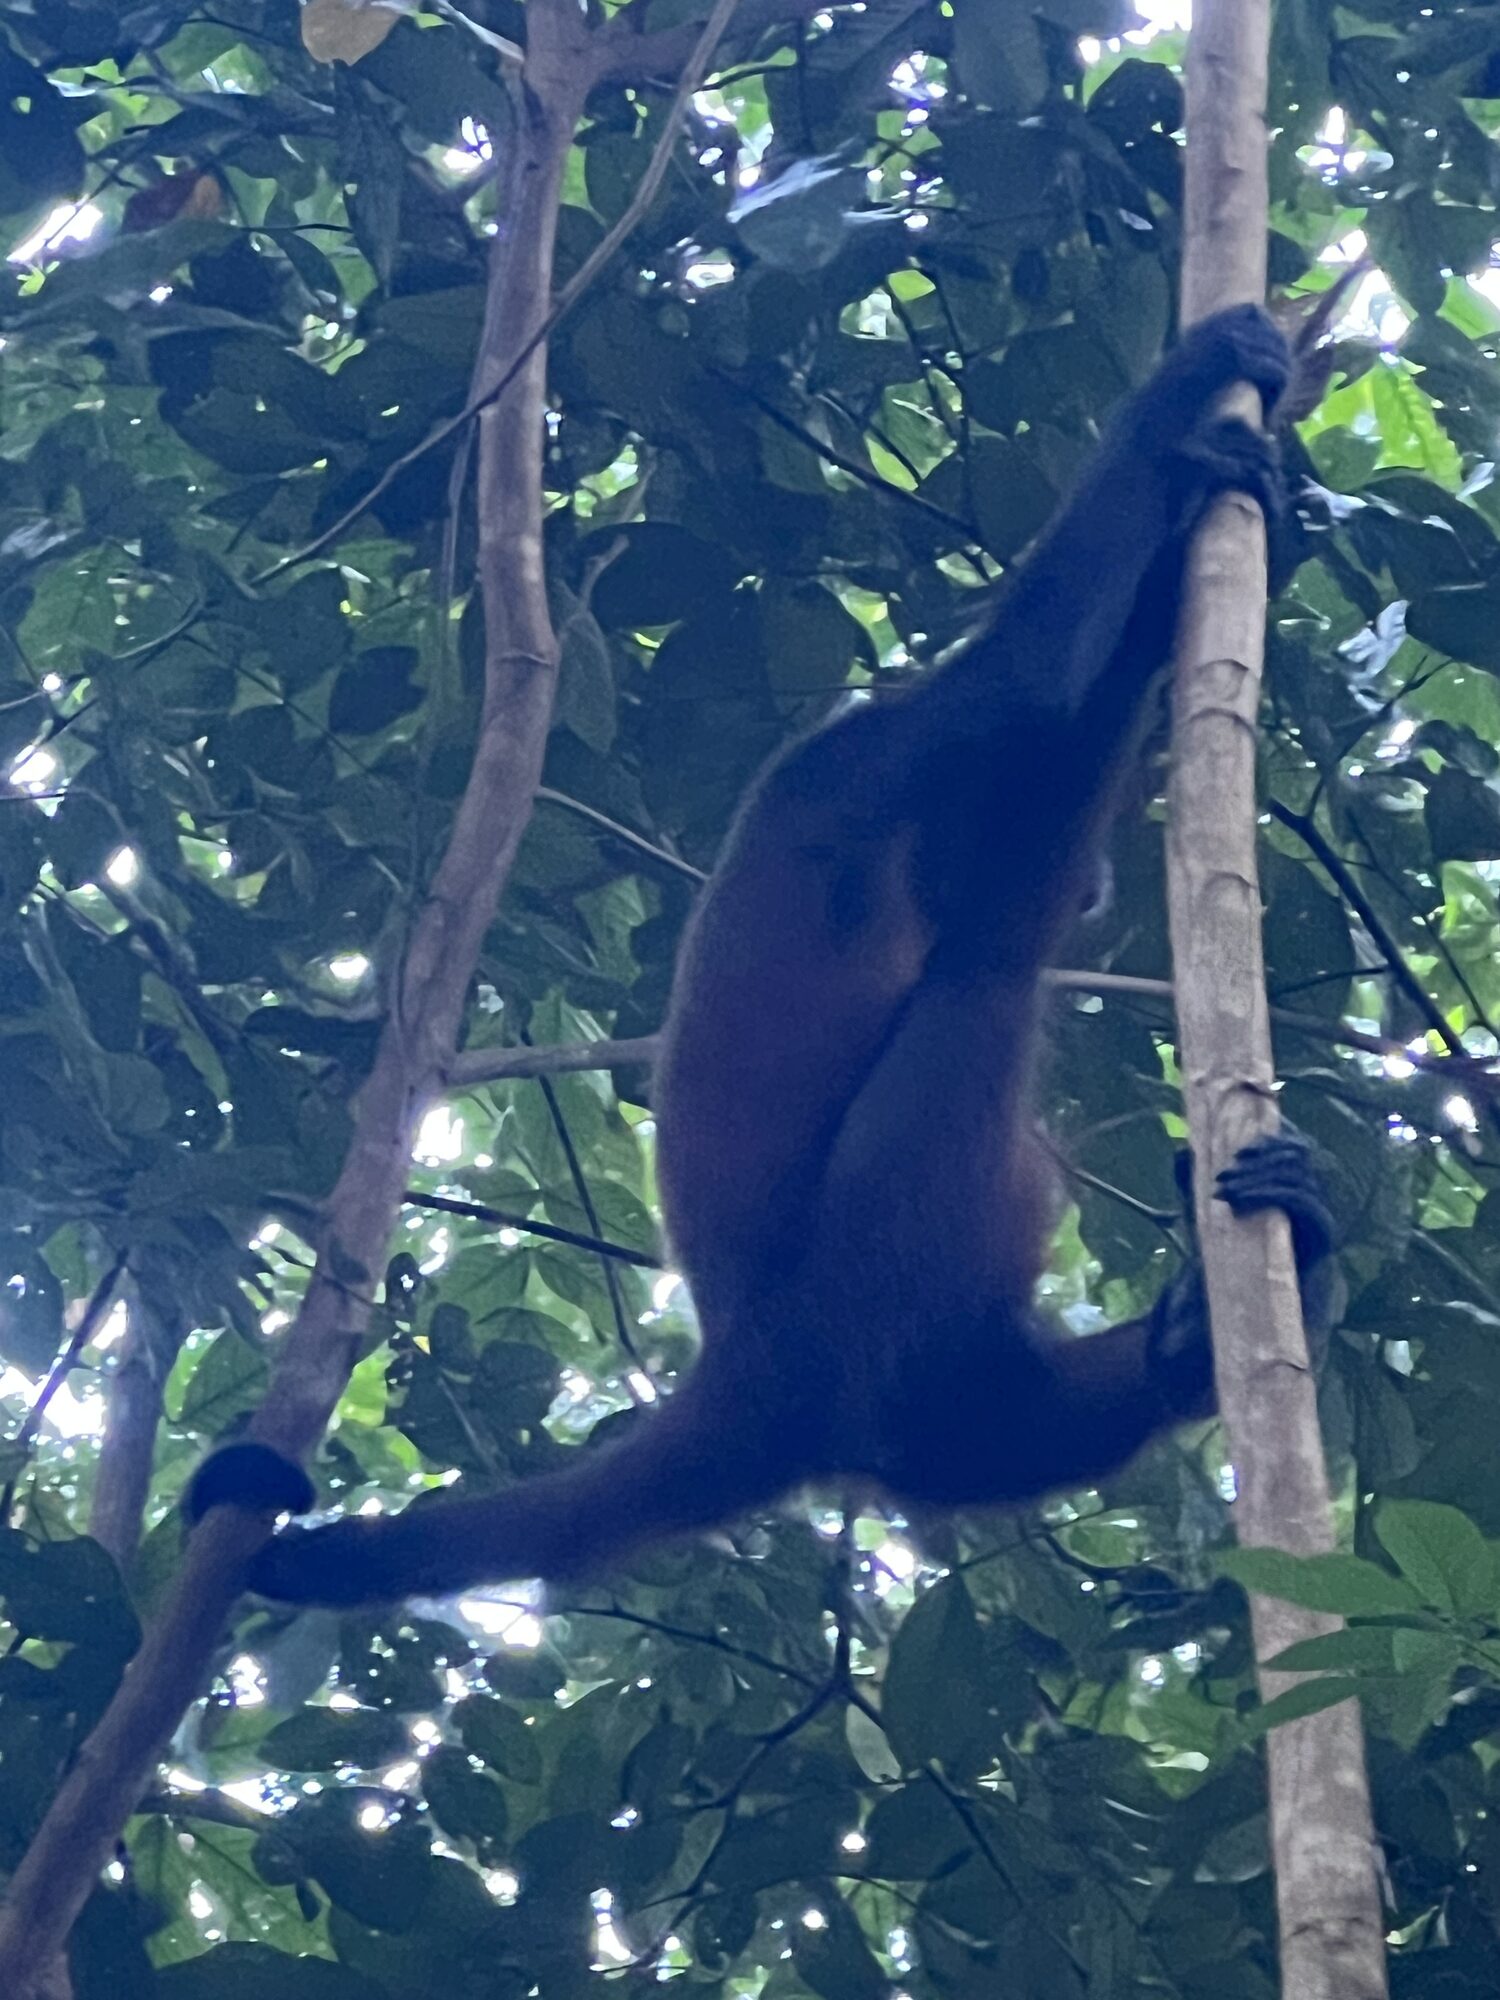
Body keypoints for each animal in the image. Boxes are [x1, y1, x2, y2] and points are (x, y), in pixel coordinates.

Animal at [190, 303, 1336, 1606]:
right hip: (870, 1262)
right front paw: (1191, 402)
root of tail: (748, 1377)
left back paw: (1203, 1333)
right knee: (979, 980)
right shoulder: (875, 757)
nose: (1100, 886)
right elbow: (1036, 690)